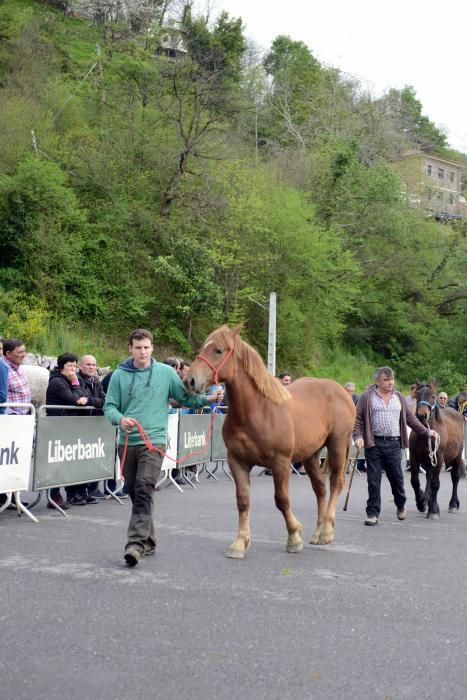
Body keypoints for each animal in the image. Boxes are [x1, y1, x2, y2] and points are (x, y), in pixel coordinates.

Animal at [185, 326, 356, 560]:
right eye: (204, 347)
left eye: (218, 350)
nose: (190, 381)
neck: (256, 411)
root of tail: (342, 392)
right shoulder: (237, 462)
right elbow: (243, 501)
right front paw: (240, 542)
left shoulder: (280, 463)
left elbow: (282, 500)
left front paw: (294, 537)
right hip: (311, 454)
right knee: (320, 488)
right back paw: (318, 531)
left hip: (337, 444)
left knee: (336, 482)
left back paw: (327, 531)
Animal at [410, 382, 464, 520]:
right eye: (416, 395)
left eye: (433, 396)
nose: (422, 415)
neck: (426, 433)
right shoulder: (414, 458)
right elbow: (415, 481)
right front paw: (421, 502)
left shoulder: (439, 459)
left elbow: (435, 484)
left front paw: (433, 510)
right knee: (428, 476)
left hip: (457, 457)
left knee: (455, 478)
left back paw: (453, 504)